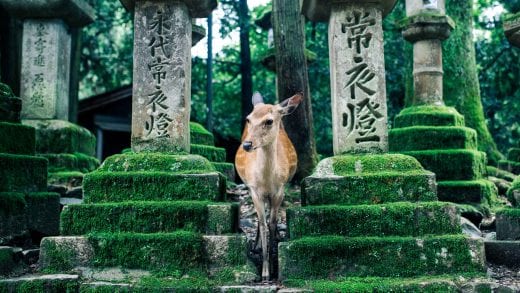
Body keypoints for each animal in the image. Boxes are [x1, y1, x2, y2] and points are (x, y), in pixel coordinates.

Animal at [235, 92, 302, 280]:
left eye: (269, 121)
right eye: (248, 119)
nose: (247, 144)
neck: (266, 181)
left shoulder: (279, 190)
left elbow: (272, 223)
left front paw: (274, 267)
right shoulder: (254, 190)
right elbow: (263, 223)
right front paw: (264, 272)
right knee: (260, 219)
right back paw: (256, 245)